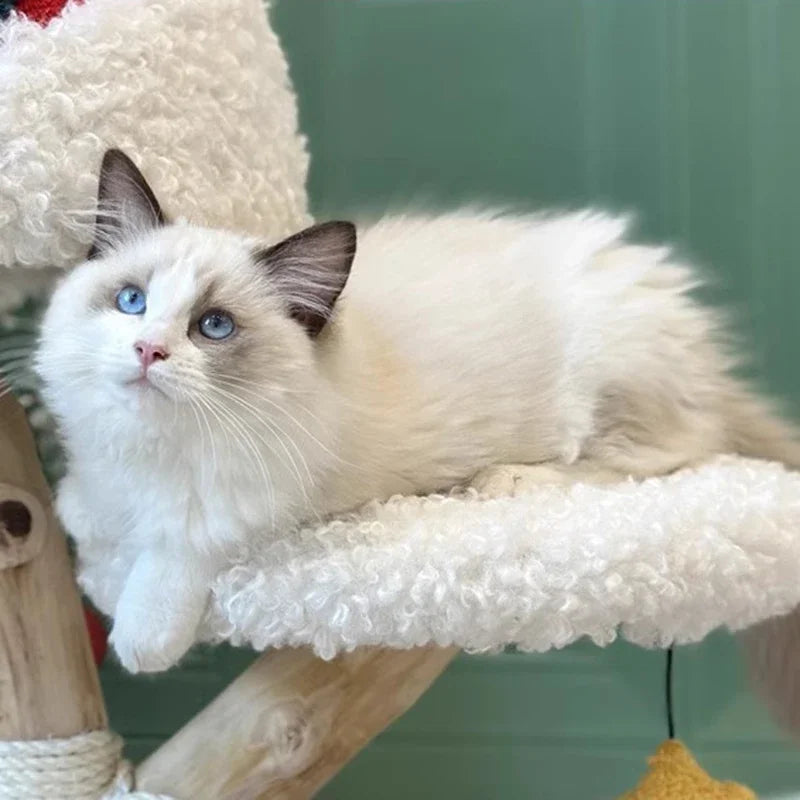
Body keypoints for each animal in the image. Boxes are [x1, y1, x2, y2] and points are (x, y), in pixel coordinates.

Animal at [34, 150, 800, 688]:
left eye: (214, 327)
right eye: (131, 301)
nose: (147, 350)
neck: (156, 447)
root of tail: (706, 356)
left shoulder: (266, 497)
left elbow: (182, 545)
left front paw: (143, 638)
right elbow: (94, 499)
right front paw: (82, 509)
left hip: (612, 371)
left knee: (664, 453)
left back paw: (506, 482)